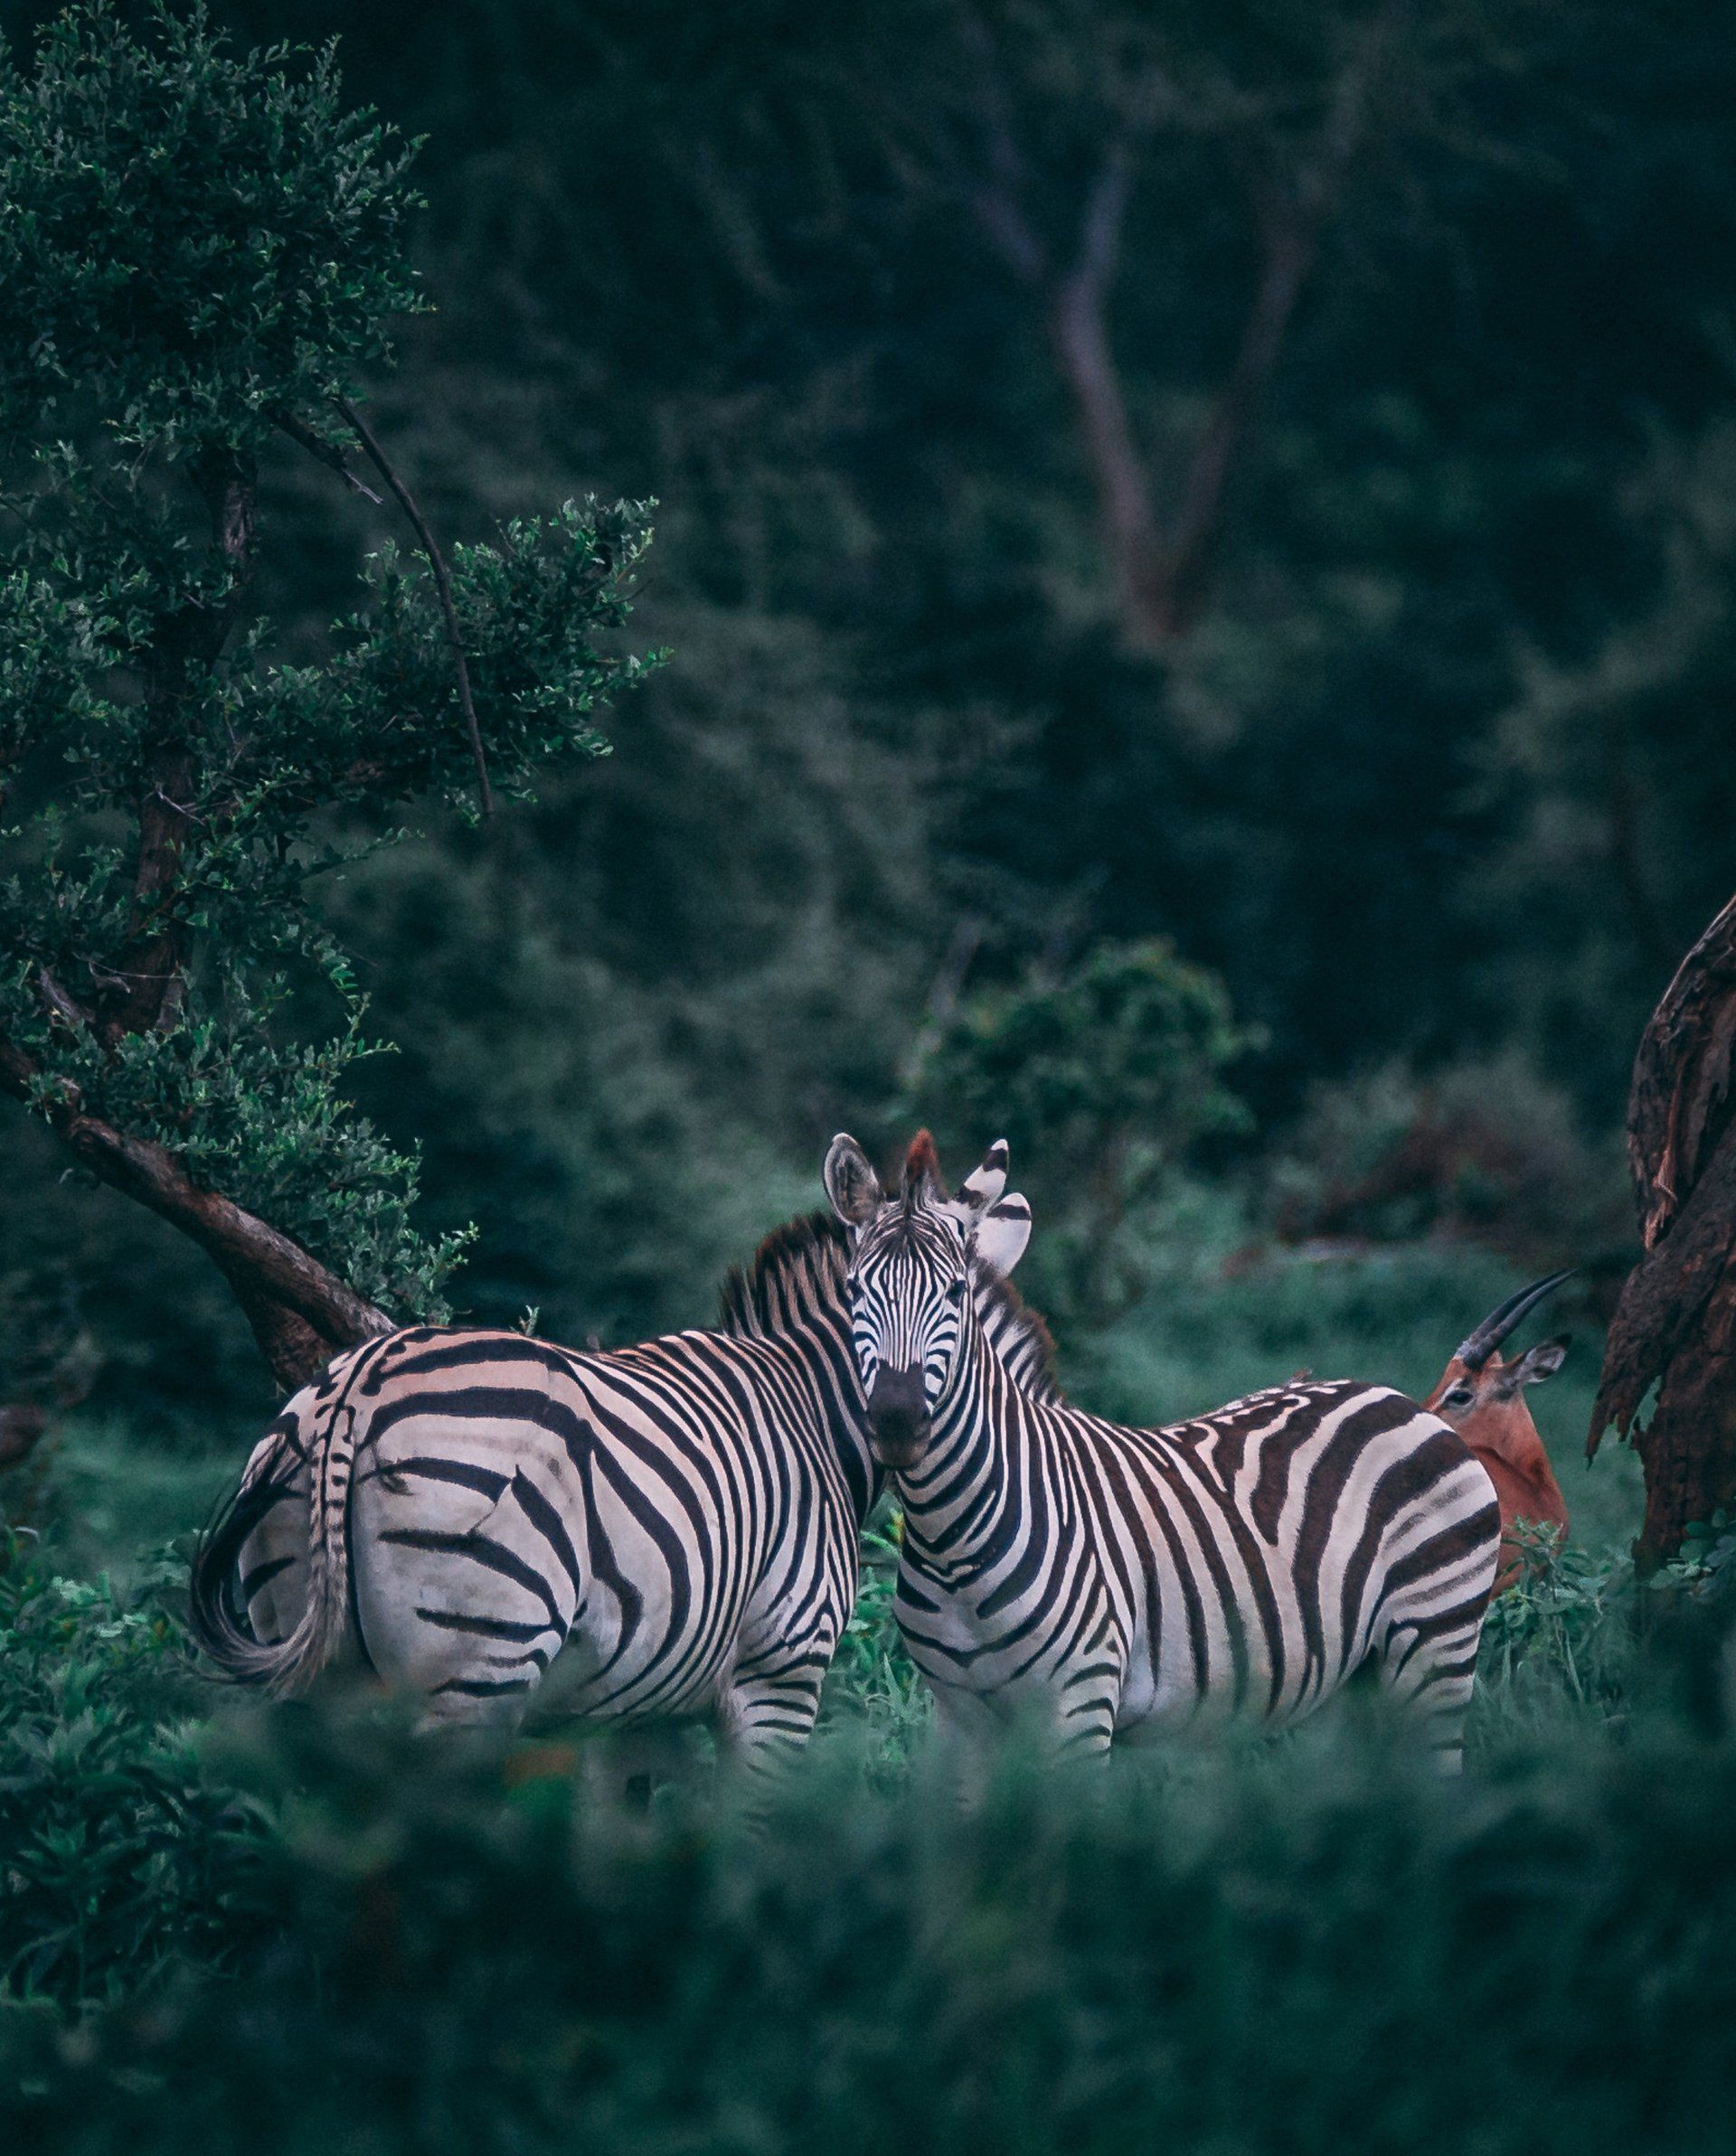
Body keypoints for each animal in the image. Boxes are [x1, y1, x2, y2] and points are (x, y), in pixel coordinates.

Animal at [189, 1188, 1049, 1764]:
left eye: (954, 1297)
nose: (898, 1421)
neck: (811, 1410)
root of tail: (358, 1384)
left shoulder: (644, 1704)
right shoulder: (780, 1674)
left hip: (310, 1655)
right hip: (477, 1668)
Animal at [824, 1130, 1504, 1770]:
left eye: (956, 1293)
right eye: (853, 1290)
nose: (896, 1421)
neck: (953, 1540)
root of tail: (1400, 1400)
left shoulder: (1081, 1703)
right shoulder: (958, 1718)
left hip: (1436, 1646)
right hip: (1348, 1683)